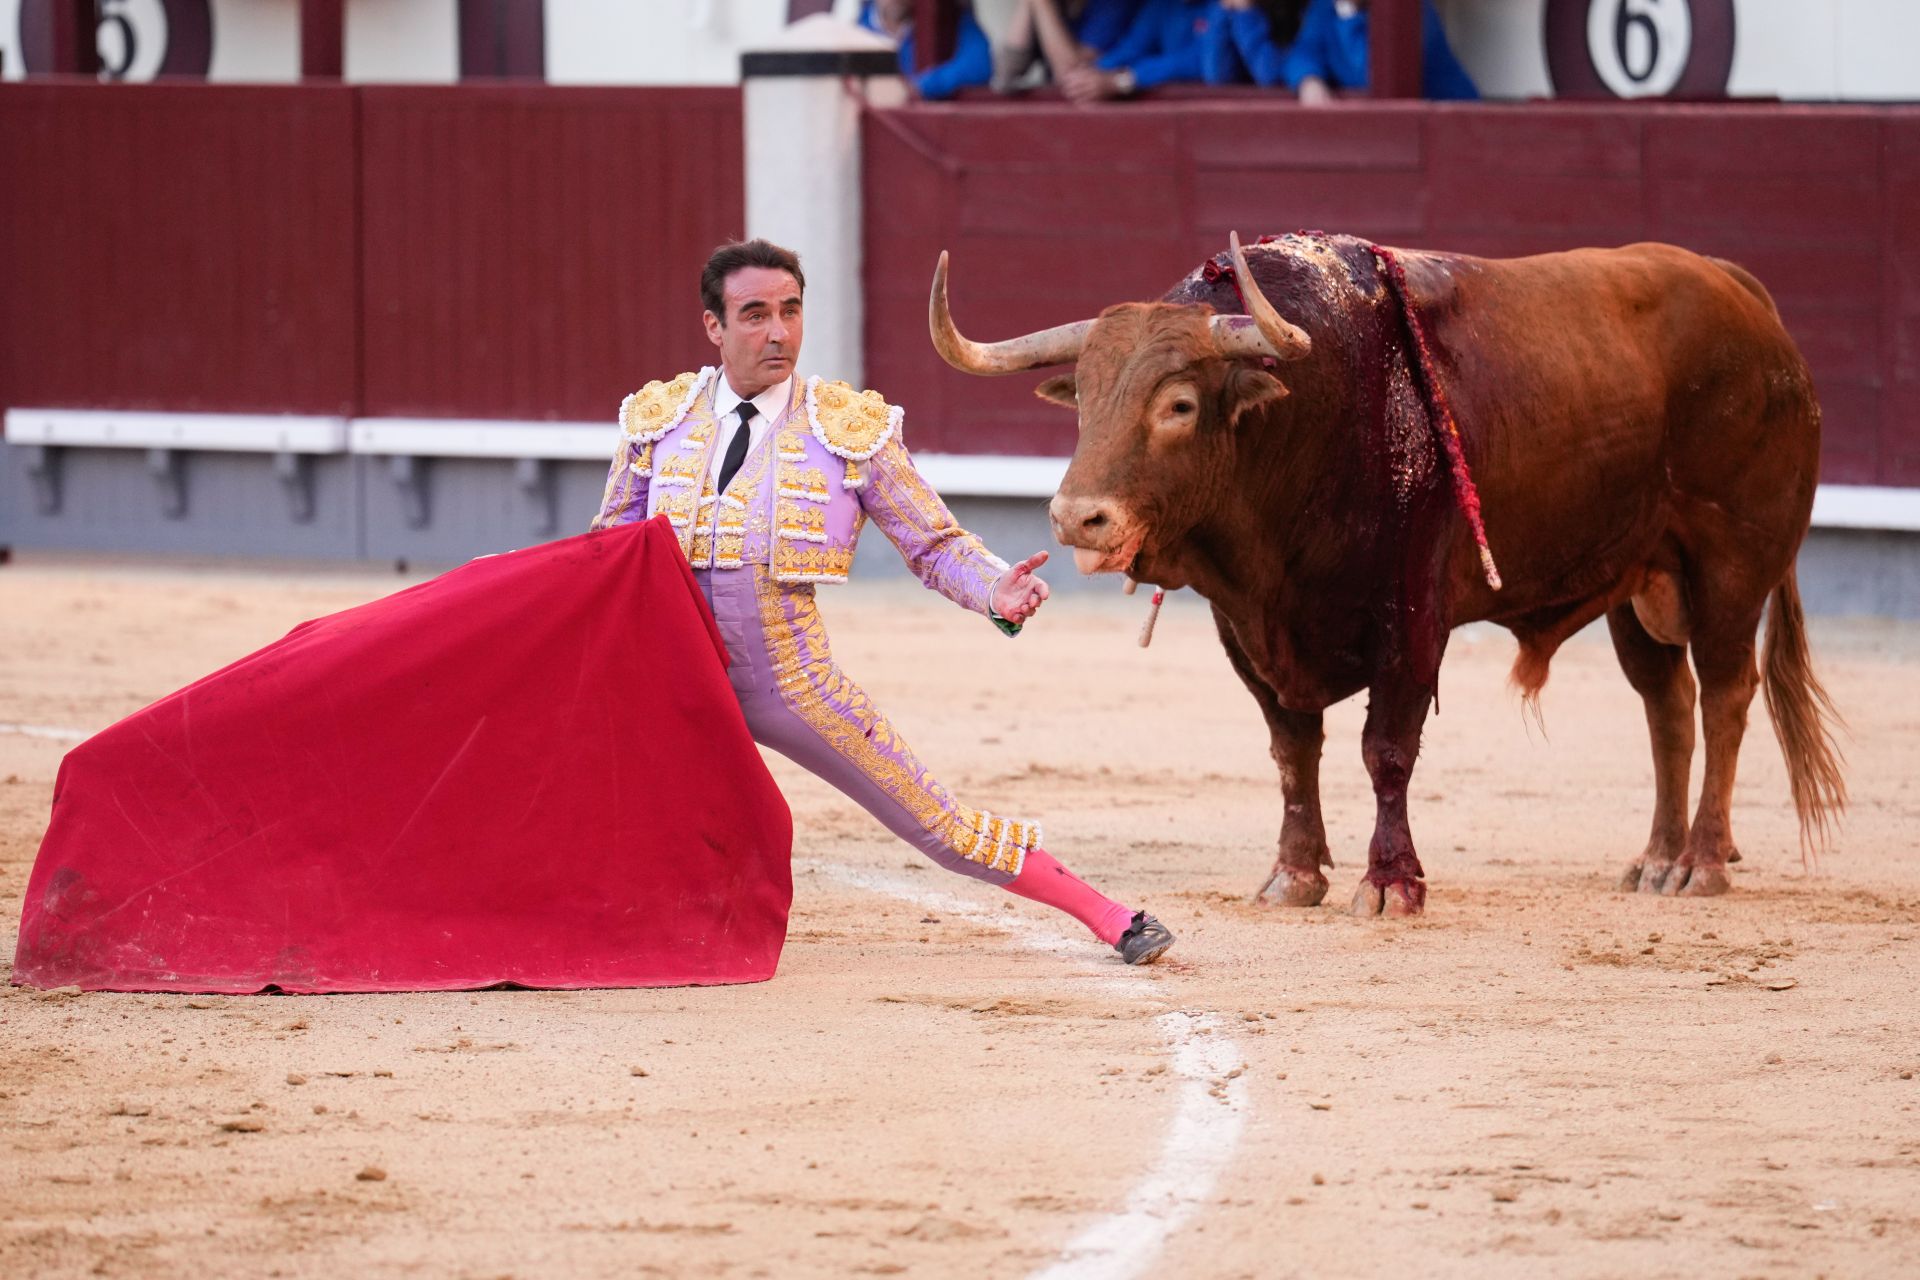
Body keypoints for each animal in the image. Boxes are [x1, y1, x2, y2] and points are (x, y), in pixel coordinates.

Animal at [929, 230, 1843, 909]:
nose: (1076, 516)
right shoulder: (1247, 627)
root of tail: (1741, 294)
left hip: (1730, 568)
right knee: (1668, 705)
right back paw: (1656, 858)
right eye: (1083, 398)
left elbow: (1386, 750)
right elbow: (1292, 747)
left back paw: (1701, 864)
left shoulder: (1412, 623)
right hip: (1639, 583)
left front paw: (1391, 881)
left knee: (1725, 696)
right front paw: (1294, 875)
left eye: (1179, 405)